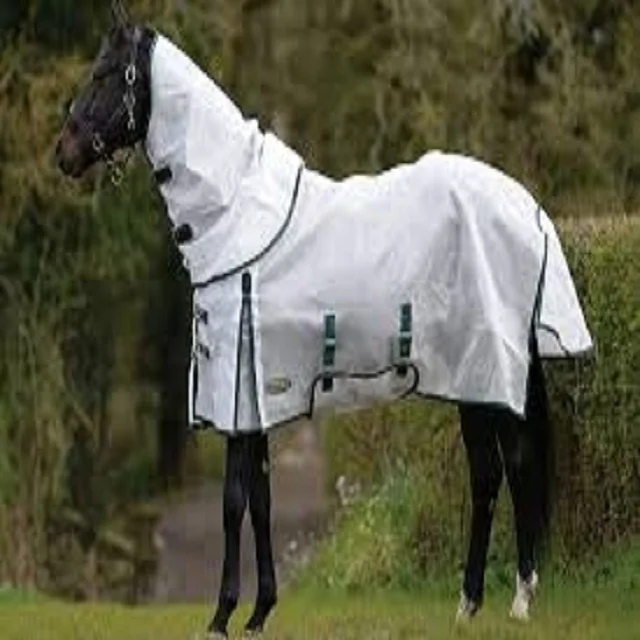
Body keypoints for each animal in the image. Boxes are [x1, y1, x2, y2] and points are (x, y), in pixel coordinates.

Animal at [56, 3, 592, 637]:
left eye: (104, 74)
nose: (63, 152)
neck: (235, 213)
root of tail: (529, 210)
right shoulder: (257, 395)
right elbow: (259, 499)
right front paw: (260, 612)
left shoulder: (237, 390)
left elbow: (233, 500)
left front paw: (221, 616)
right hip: (470, 379)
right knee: (486, 476)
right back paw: (467, 605)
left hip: (495, 373)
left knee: (518, 465)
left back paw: (520, 600)